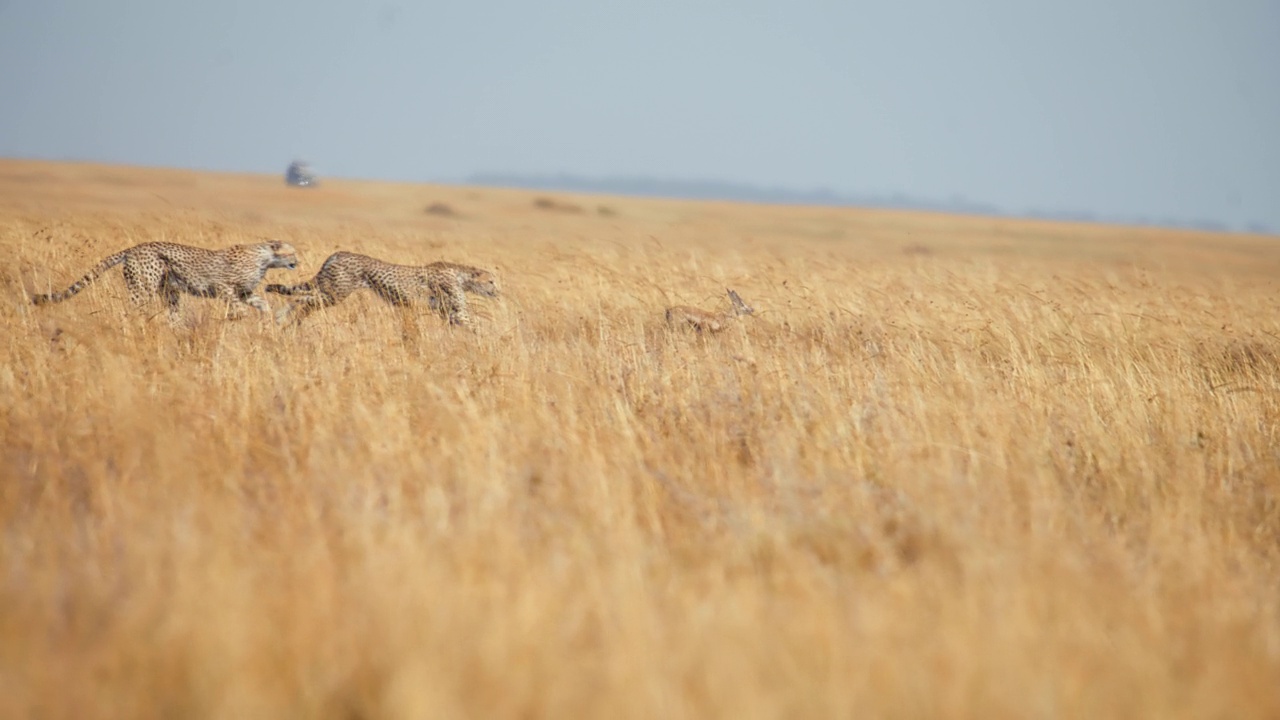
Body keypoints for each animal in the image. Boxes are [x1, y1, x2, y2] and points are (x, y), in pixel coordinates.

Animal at [31, 239, 300, 317]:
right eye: (292, 252)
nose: (297, 262)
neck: (265, 257)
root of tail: (134, 248)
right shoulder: (223, 285)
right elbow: (236, 305)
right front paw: (237, 317)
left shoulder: (244, 290)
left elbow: (259, 302)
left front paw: (267, 316)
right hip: (143, 288)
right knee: (133, 312)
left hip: (169, 291)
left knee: (172, 316)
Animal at [262, 248, 496, 324]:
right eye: (491, 280)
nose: (497, 291)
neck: (462, 276)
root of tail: (338, 253)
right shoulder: (457, 311)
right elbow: (477, 325)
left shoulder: (448, 313)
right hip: (336, 293)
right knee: (302, 298)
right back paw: (283, 317)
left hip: (329, 290)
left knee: (304, 300)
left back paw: (289, 320)